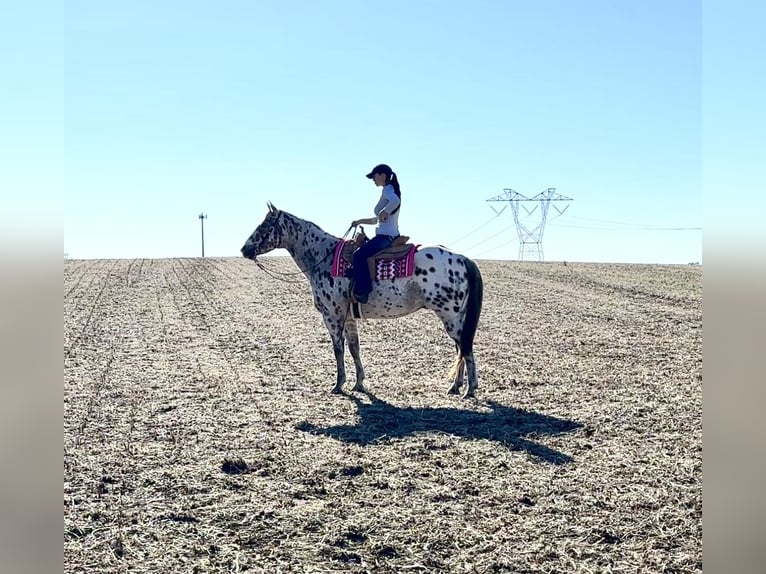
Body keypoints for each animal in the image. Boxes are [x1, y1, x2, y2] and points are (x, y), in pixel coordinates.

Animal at [240, 202, 484, 398]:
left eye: (264, 225)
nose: (245, 249)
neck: (324, 257)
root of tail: (463, 259)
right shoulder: (348, 317)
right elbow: (354, 348)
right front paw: (359, 383)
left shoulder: (332, 315)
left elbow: (338, 348)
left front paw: (338, 385)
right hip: (456, 318)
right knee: (461, 349)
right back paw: (456, 387)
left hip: (450, 316)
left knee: (465, 347)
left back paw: (469, 390)